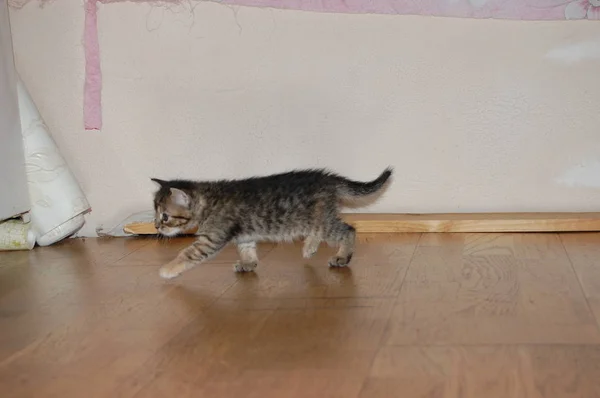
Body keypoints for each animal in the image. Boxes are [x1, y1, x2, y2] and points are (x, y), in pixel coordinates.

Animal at [152, 168, 392, 280]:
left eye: (165, 216)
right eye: (155, 213)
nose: (156, 227)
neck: (208, 201)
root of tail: (328, 179)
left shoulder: (211, 239)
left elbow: (187, 253)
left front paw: (167, 269)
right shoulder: (244, 235)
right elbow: (247, 249)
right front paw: (248, 264)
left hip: (322, 221)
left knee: (348, 230)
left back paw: (342, 257)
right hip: (316, 219)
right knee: (320, 231)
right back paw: (309, 247)